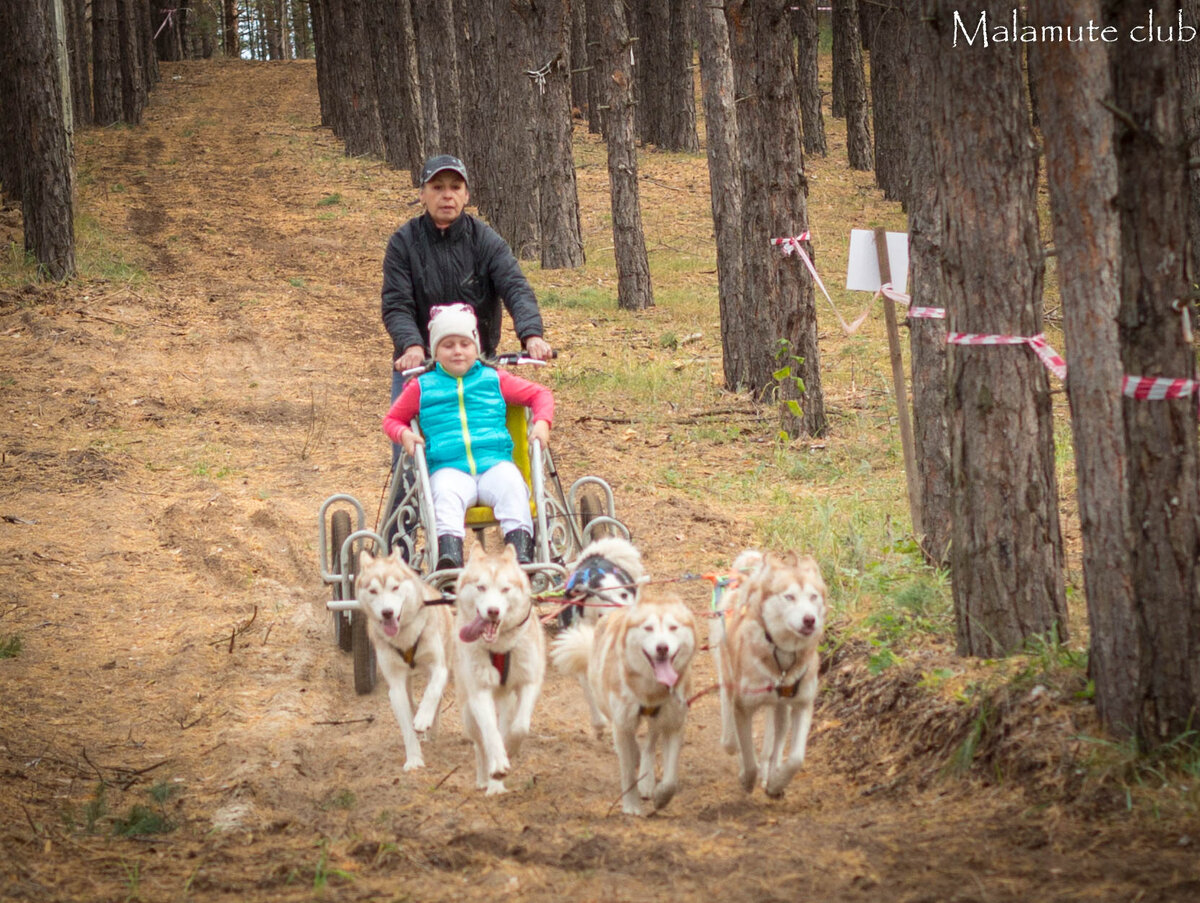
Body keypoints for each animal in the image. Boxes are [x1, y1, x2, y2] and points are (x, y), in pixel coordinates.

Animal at [355, 547, 453, 773]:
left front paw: (424, 718)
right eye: (373, 591)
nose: (387, 612)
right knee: (411, 700)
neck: (405, 637)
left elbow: (432, 693)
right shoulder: (396, 685)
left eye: (395, 587)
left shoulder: (438, 667)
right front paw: (414, 759)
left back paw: (430, 727)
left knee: (437, 695)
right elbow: (407, 725)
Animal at [451, 540, 547, 792]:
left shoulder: (529, 682)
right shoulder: (479, 691)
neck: (500, 647)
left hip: (507, 701)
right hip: (467, 711)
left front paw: (510, 748)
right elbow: (490, 733)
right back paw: (486, 778)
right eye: (481, 587)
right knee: (480, 743)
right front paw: (498, 762)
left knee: (505, 723)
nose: (493, 611)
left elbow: (519, 727)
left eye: (505, 589)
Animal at [549, 595, 700, 816]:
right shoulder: (623, 722)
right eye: (648, 628)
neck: (651, 689)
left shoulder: (674, 722)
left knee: (650, 743)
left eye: (673, 627)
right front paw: (631, 806)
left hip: (657, 718)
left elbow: (671, 778)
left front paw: (661, 796)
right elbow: (628, 770)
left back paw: (647, 778)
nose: (662, 648)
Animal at [710, 549, 825, 797]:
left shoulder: (802, 704)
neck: (782, 661)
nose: (809, 619)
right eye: (789, 597)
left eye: (813, 597)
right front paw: (747, 778)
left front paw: (776, 783)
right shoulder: (743, 707)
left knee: (774, 742)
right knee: (731, 734)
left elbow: (795, 759)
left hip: (780, 707)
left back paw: (770, 774)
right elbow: (747, 755)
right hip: (727, 676)